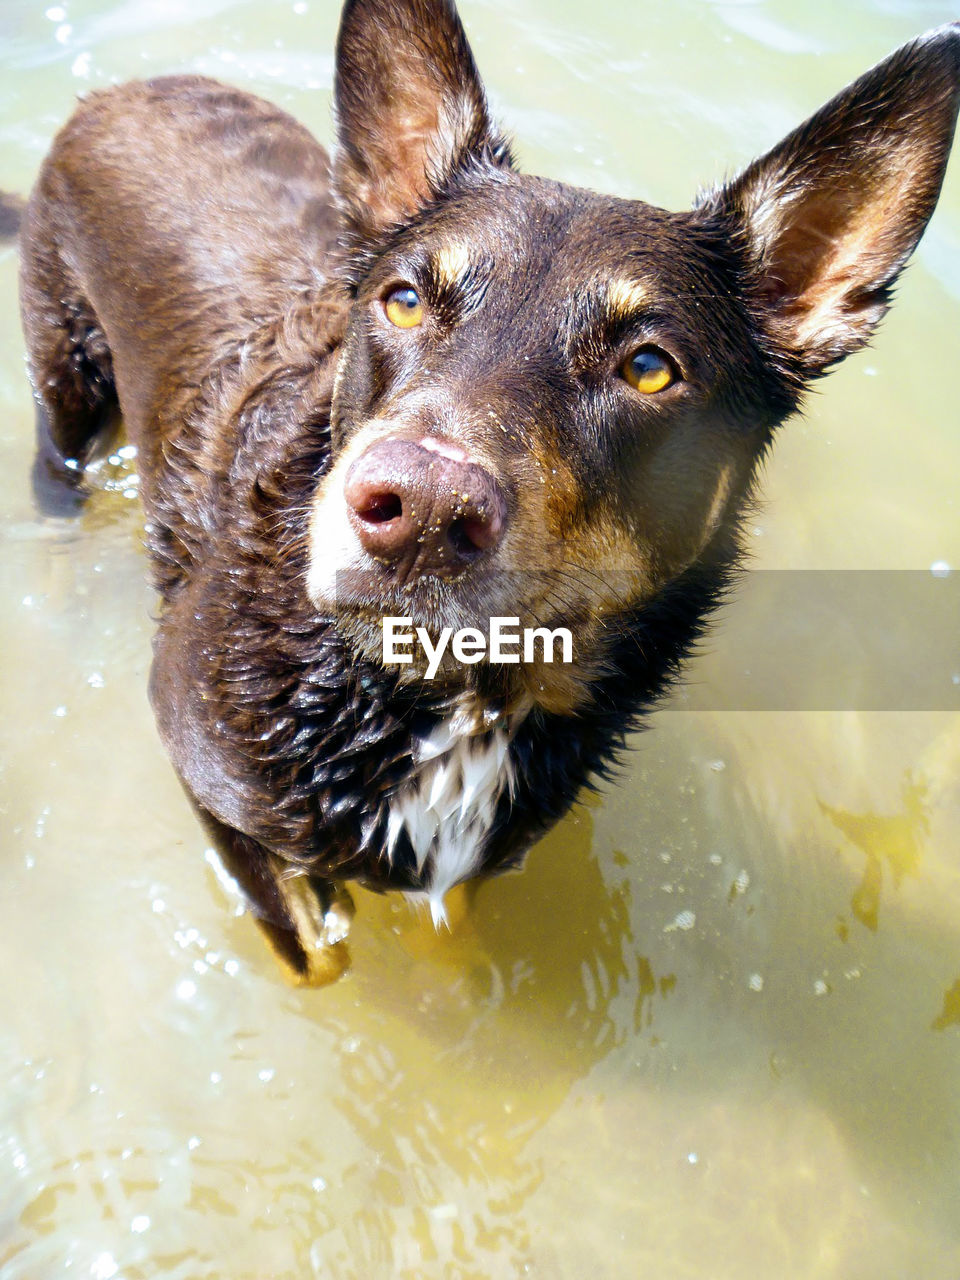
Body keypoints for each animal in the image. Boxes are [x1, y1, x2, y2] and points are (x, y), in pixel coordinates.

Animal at [5, 0, 957, 977]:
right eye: (403, 301)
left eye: (649, 367)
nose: (420, 512)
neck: (452, 701)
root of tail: (126, 90)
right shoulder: (205, 778)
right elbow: (319, 952)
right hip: (66, 394)